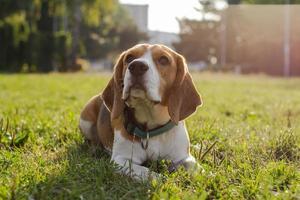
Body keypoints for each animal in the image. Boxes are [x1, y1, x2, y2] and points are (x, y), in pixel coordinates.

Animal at [78, 43, 203, 180]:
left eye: (164, 60)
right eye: (129, 58)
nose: (137, 66)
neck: (151, 128)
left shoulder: (183, 158)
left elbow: (197, 168)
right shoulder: (120, 161)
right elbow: (151, 174)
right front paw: (164, 179)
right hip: (85, 120)